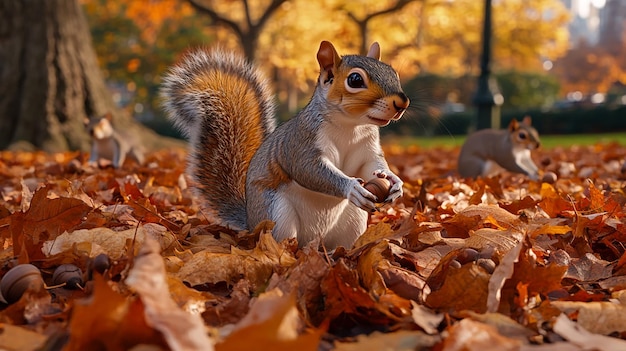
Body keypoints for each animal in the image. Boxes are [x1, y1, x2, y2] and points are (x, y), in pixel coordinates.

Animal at [158, 40, 408, 250]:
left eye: (393, 72)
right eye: (355, 80)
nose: (402, 103)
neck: (351, 127)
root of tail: (251, 221)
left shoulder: (367, 149)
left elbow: (371, 166)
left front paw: (394, 181)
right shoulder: (300, 143)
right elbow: (309, 170)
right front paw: (351, 187)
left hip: (354, 220)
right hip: (277, 215)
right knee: (284, 241)